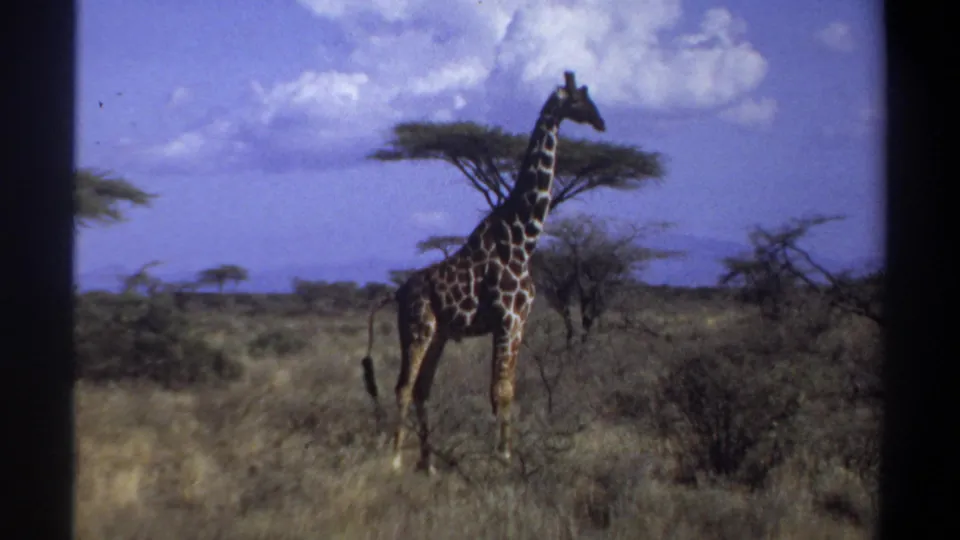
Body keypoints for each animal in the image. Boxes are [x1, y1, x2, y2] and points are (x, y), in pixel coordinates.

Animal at [361, 71, 606, 474]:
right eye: (580, 98)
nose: (601, 122)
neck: (523, 239)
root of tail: (397, 292)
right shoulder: (506, 319)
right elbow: (498, 389)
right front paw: (501, 457)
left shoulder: (520, 321)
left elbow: (509, 388)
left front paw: (508, 452)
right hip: (417, 327)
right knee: (403, 386)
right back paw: (396, 458)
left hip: (440, 333)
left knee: (423, 387)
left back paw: (428, 463)